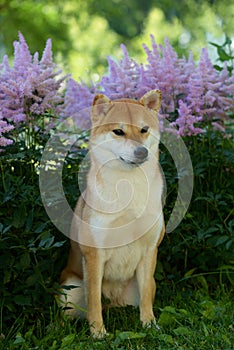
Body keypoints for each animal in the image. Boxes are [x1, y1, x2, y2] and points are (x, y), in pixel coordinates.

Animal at [59, 90, 165, 340]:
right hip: (69, 291)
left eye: (144, 129)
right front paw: (98, 333)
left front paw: (149, 325)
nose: (142, 152)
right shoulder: (94, 254)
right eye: (118, 131)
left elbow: (146, 299)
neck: (128, 187)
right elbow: (94, 301)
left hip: (148, 284)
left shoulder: (150, 250)